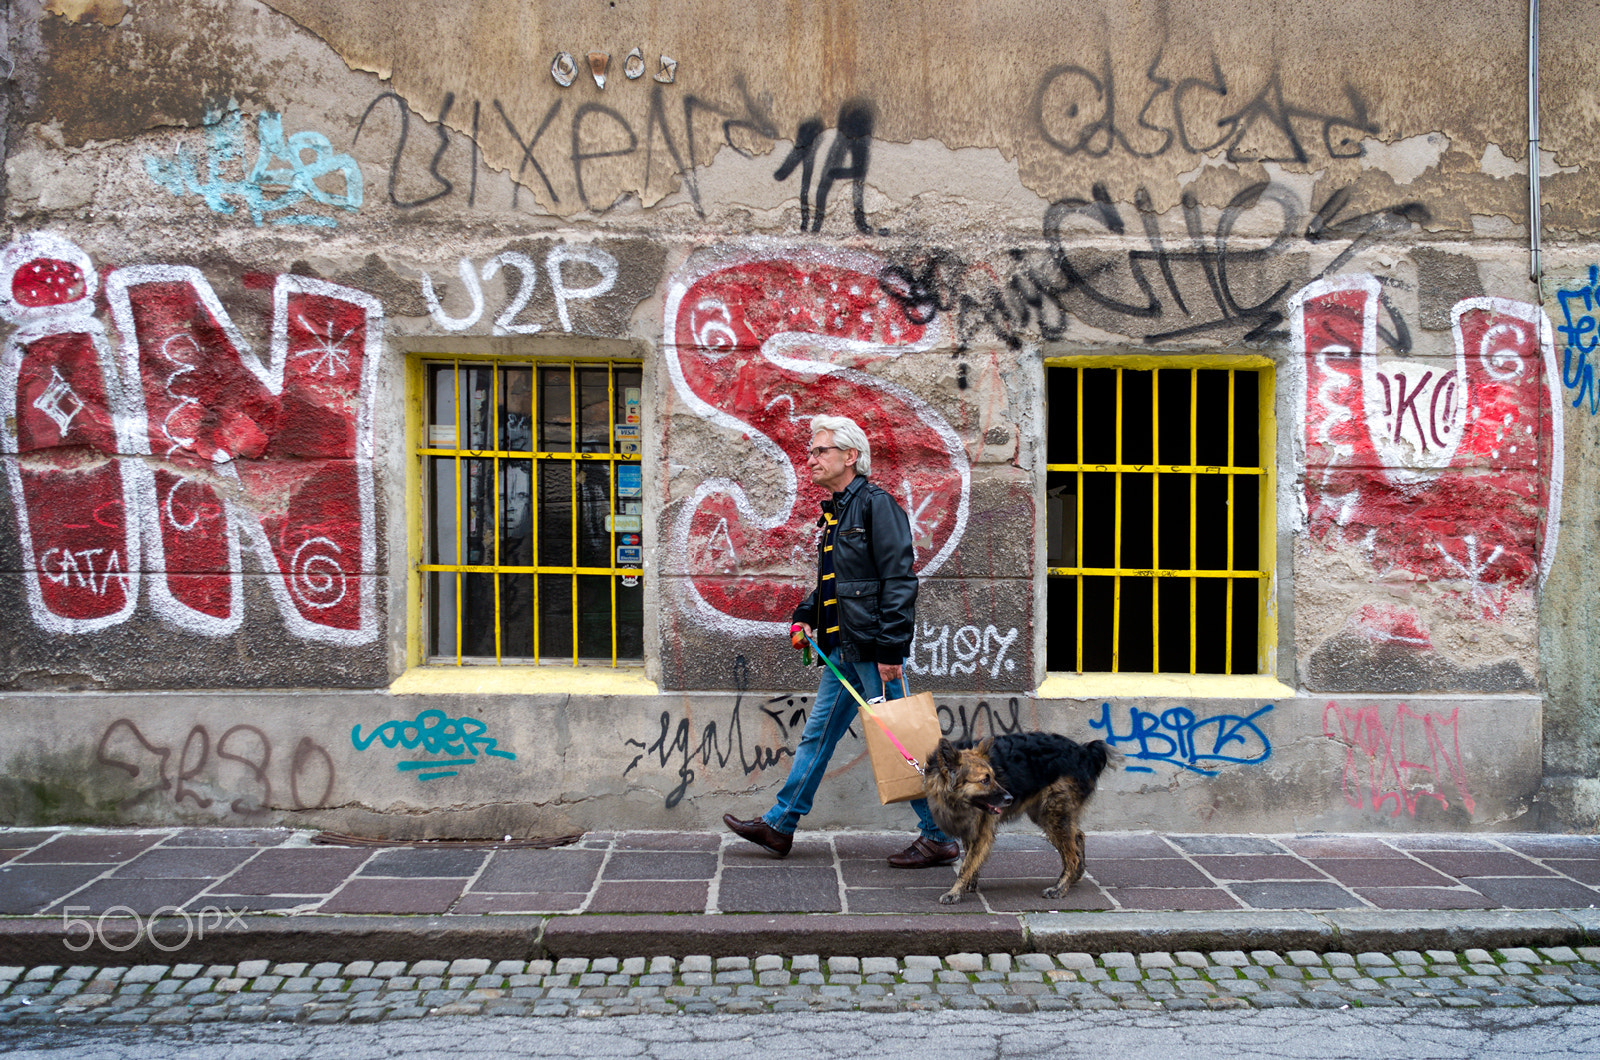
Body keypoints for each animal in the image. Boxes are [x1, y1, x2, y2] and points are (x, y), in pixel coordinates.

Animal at [928, 736, 1113, 909]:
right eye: (985, 780)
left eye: (994, 777)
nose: (1010, 798)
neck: (957, 800)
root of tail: (1083, 752)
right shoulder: (970, 828)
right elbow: (970, 857)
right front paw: (969, 882)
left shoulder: (982, 831)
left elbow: (966, 865)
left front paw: (955, 892)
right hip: (1045, 814)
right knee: (1078, 836)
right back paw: (1075, 875)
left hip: (1052, 814)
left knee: (1071, 856)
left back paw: (1059, 888)